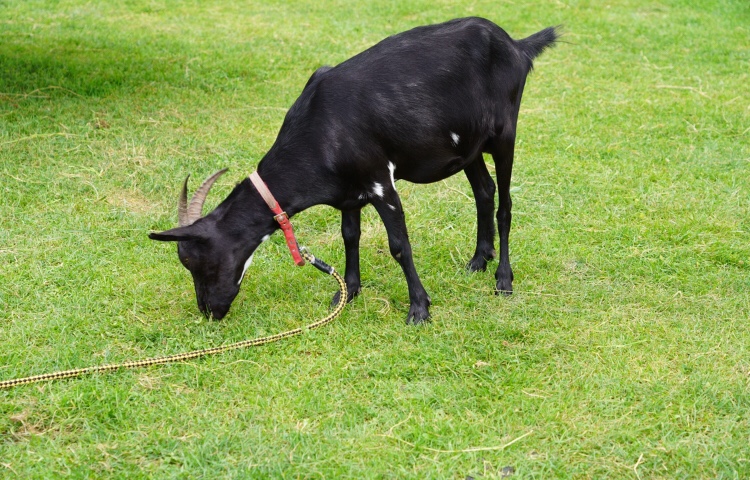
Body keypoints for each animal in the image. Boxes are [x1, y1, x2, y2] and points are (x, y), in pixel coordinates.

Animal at [150, 16, 560, 324]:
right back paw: (478, 259)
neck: (319, 128)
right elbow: (350, 236)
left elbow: (399, 246)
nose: (209, 311)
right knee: (484, 191)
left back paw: (503, 279)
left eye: (194, 260)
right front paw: (347, 293)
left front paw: (419, 308)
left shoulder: (381, 181)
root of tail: (516, 46)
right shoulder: (347, 192)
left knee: (505, 203)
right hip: (468, 146)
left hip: (504, 133)